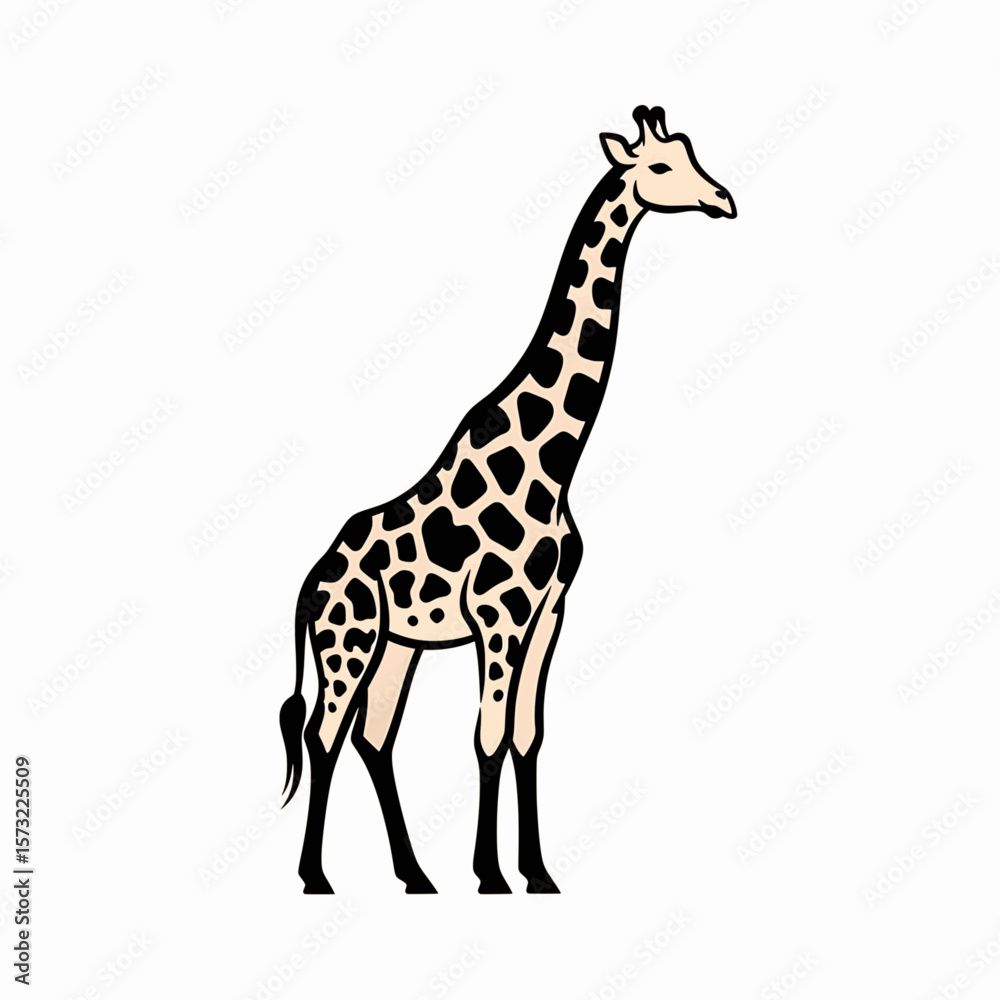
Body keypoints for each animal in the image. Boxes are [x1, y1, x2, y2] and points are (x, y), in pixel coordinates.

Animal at [279, 105, 736, 894]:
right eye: (661, 167)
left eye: (691, 156)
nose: (724, 200)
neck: (554, 464)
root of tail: (312, 580)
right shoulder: (500, 614)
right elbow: (487, 736)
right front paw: (491, 874)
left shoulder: (550, 611)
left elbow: (527, 736)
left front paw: (539, 872)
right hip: (350, 638)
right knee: (324, 734)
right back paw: (316, 876)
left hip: (396, 645)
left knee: (374, 737)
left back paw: (415, 875)